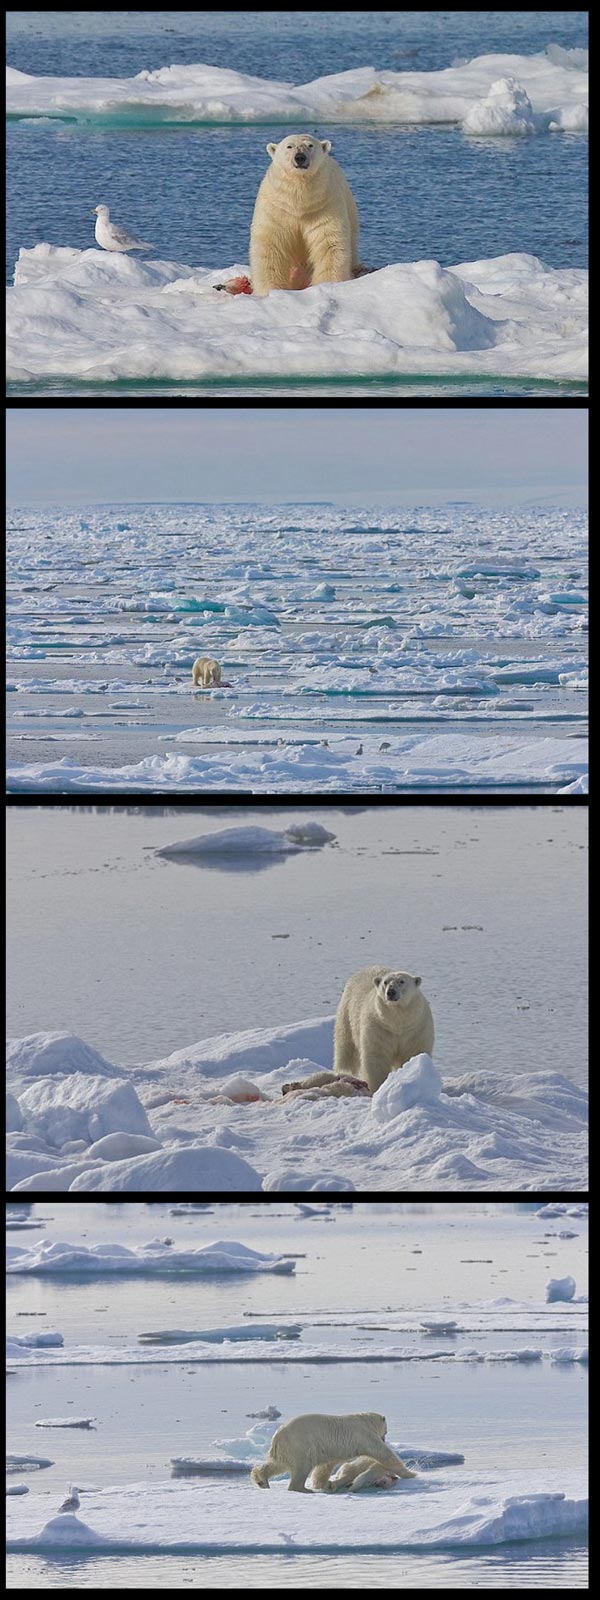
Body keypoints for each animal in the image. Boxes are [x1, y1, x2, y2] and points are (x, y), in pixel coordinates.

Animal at [249, 133, 361, 297]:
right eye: (289, 146)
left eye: (310, 145)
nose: (300, 157)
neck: (299, 201)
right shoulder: (276, 208)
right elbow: (270, 245)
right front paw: (270, 290)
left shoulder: (324, 206)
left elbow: (328, 244)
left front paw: (328, 283)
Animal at [249, 1408, 419, 1491]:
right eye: (386, 1431)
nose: (384, 1438)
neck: (365, 1421)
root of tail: (277, 1436)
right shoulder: (364, 1435)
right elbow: (383, 1454)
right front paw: (411, 1474)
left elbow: (326, 1465)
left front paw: (322, 1483)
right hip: (300, 1445)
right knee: (301, 1467)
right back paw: (302, 1489)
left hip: (287, 1449)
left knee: (277, 1465)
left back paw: (261, 1480)